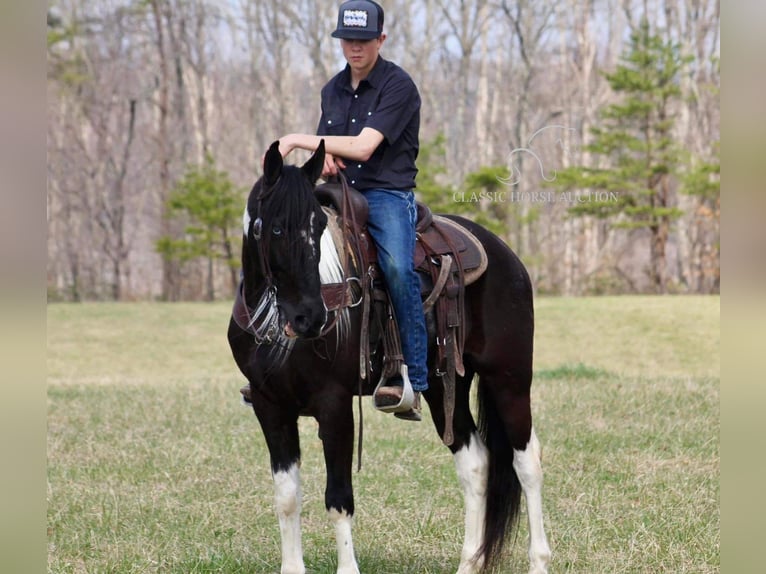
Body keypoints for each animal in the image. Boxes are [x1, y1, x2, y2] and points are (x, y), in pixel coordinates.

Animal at [228, 141, 552, 574]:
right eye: (275, 228)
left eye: (319, 226)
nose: (310, 317)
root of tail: (505, 255)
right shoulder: (270, 406)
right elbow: (287, 497)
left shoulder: (334, 406)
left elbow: (338, 499)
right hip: (442, 387)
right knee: (475, 464)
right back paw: (468, 562)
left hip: (510, 378)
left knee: (526, 462)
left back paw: (539, 559)